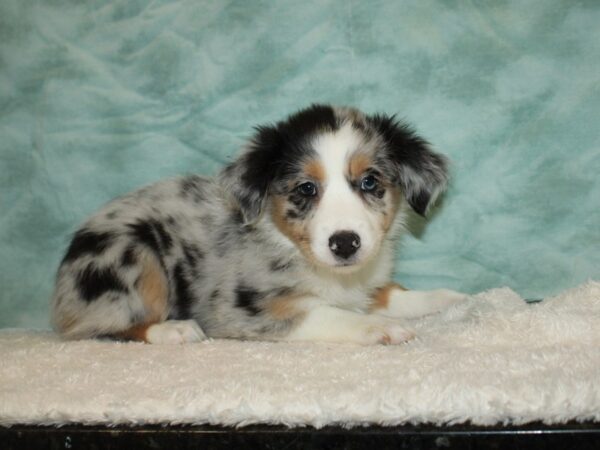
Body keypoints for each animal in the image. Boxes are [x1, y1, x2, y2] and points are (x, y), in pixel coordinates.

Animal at [51, 105, 464, 344]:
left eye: (369, 182)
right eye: (306, 188)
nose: (345, 243)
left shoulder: (367, 282)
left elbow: (395, 295)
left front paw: (449, 299)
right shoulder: (243, 311)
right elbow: (327, 313)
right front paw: (377, 328)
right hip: (133, 252)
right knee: (109, 323)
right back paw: (173, 329)